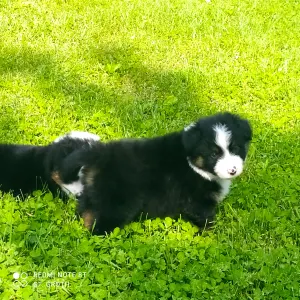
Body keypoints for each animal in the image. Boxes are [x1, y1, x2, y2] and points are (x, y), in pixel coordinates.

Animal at [55, 112, 252, 234]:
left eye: (235, 149)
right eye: (213, 154)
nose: (233, 170)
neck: (193, 164)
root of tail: (98, 154)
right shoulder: (197, 202)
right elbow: (206, 220)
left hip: (95, 193)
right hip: (117, 203)